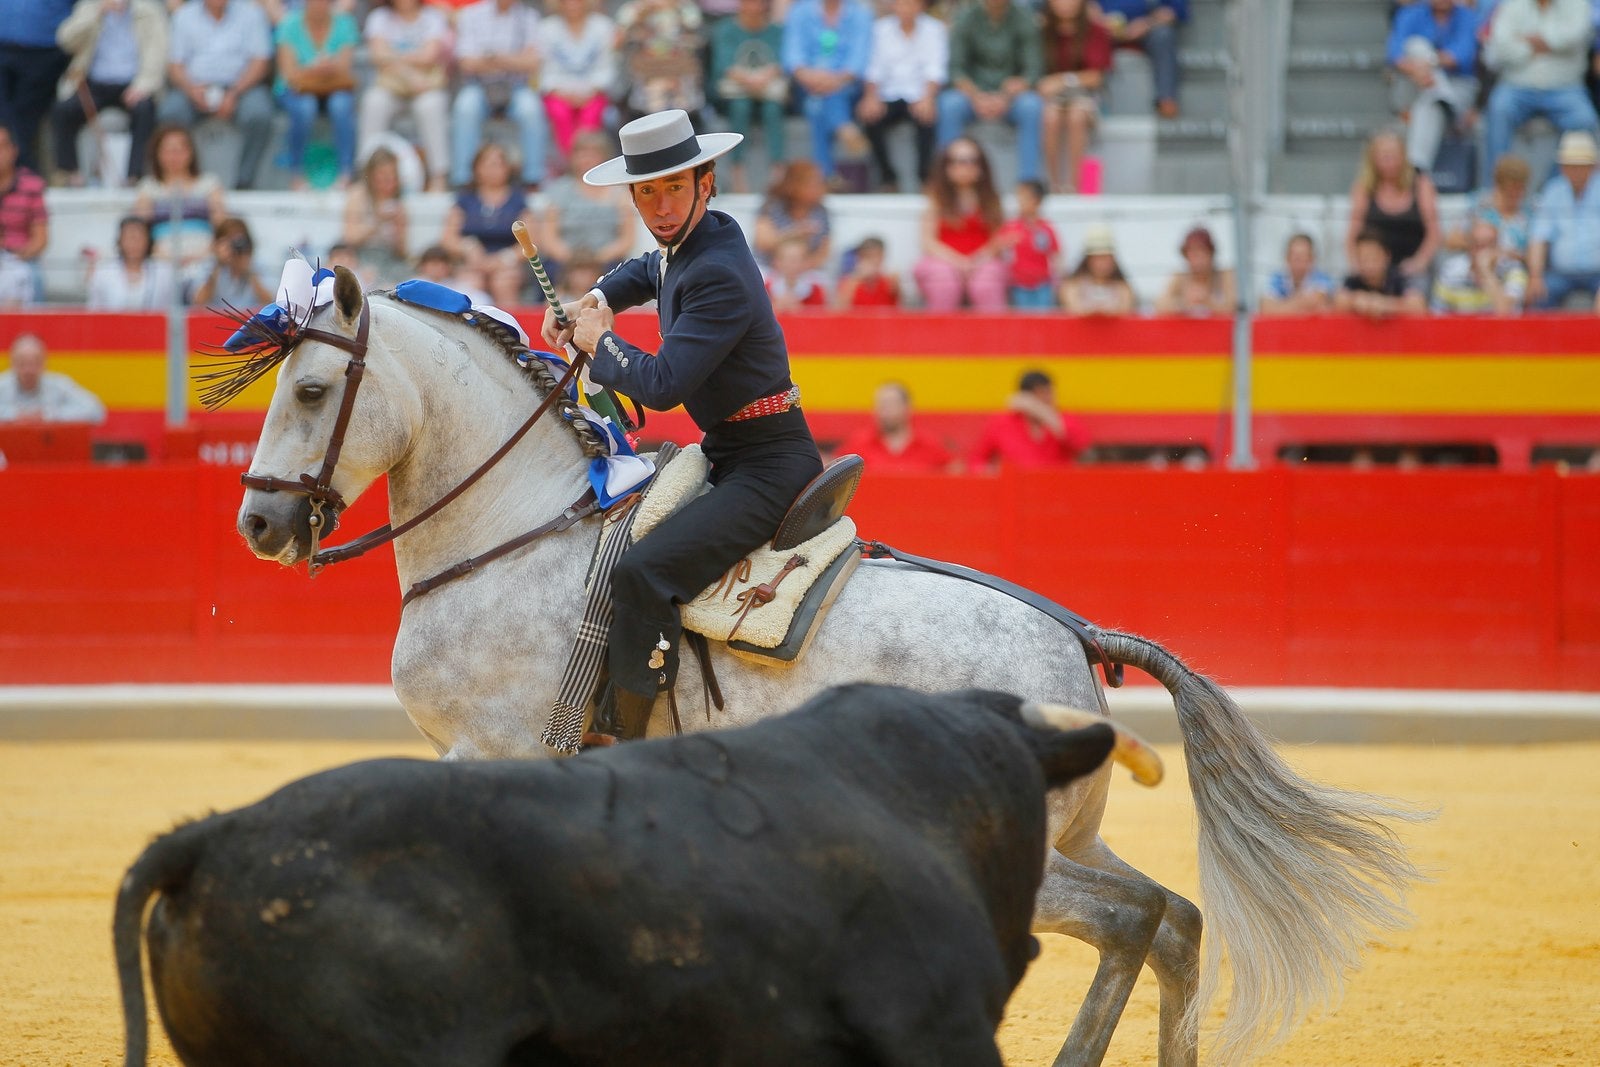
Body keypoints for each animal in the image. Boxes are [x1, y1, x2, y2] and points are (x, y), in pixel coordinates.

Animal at [232, 268, 1420, 1067]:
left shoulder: (494, 748)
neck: (518, 524)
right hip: (1072, 834)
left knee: (1139, 917)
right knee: (1172, 916)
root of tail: (1076, 638)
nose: (257, 522)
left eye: (312, 389)